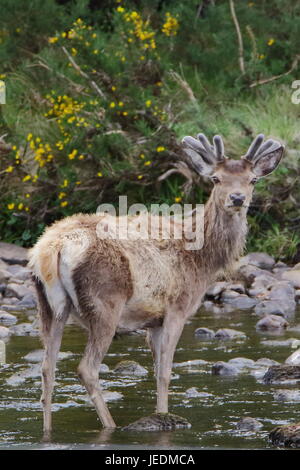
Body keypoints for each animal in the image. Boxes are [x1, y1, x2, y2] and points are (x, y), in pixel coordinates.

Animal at [28, 131, 284, 434]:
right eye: (215, 179)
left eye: (252, 179)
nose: (237, 198)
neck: (203, 259)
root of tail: (52, 249)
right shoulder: (177, 307)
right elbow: (164, 371)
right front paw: (164, 416)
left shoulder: (153, 320)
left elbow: (155, 369)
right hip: (105, 301)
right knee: (86, 368)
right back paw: (111, 425)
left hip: (48, 305)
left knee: (47, 368)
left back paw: (47, 430)